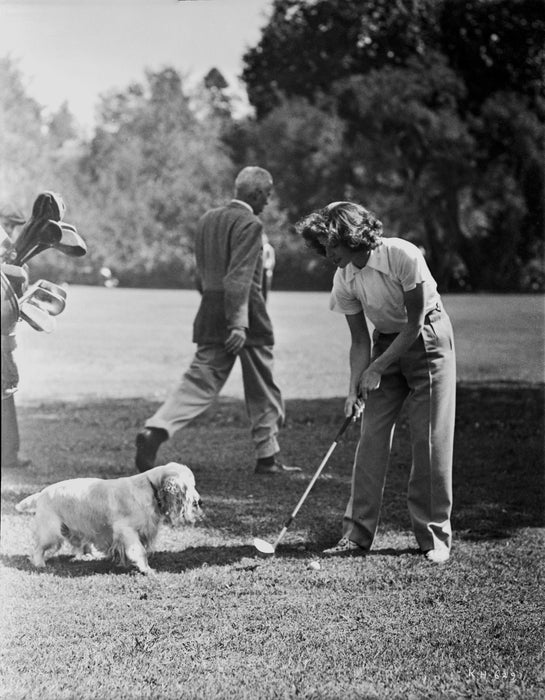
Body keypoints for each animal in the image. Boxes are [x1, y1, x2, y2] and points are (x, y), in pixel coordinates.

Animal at [15, 460, 202, 576]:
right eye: (188, 486)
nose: (199, 501)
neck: (150, 486)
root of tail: (41, 494)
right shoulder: (126, 530)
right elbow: (139, 550)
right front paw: (146, 569)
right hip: (51, 532)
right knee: (38, 549)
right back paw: (39, 564)